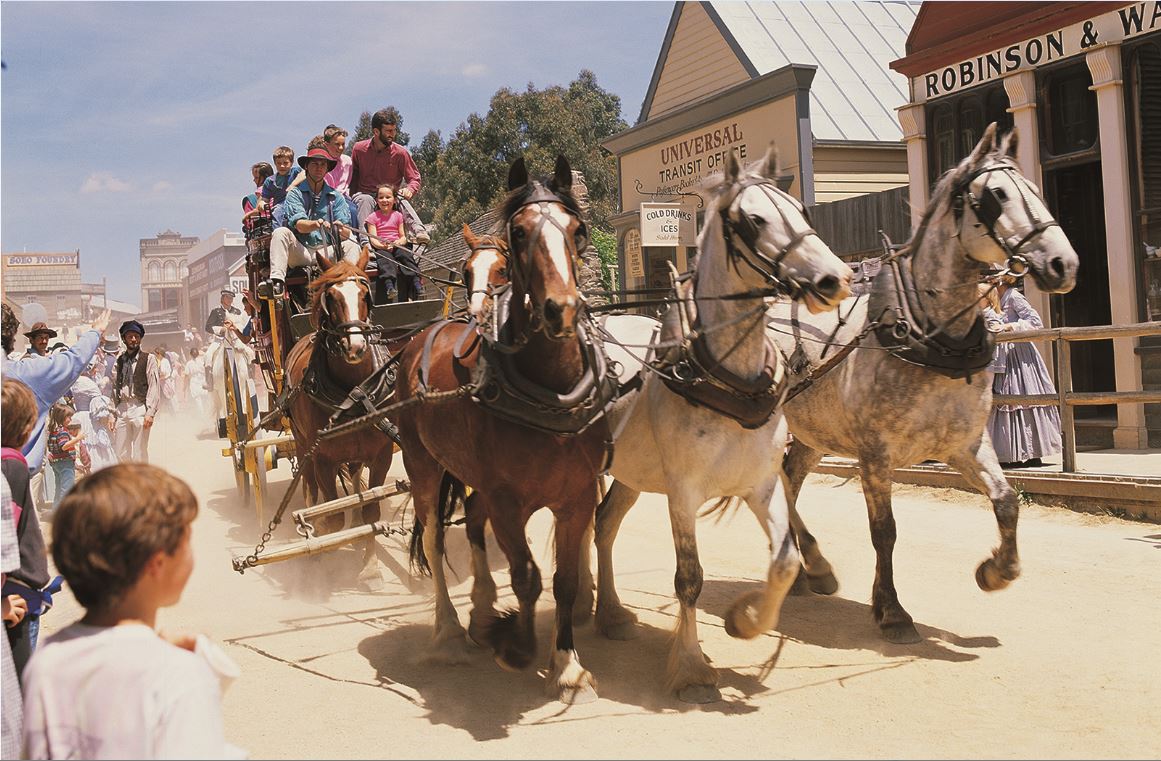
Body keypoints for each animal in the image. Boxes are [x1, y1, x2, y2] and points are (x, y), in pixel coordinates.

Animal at [390, 156, 608, 706]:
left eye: (578, 230)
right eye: (519, 231)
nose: (561, 308)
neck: (550, 391)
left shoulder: (576, 497)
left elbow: (564, 580)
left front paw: (568, 665)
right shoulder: (508, 499)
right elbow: (527, 577)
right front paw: (517, 647)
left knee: (469, 520)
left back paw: (483, 607)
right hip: (423, 465)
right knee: (434, 539)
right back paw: (449, 630)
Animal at [589, 145, 854, 706]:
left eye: (802, 209)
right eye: (753, 220)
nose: (834, 280)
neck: (725, 377)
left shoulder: (761, 484)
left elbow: (785, 562)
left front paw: (744, 621)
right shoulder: (683, 493)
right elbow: (689, 578)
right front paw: (691, 669)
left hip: (629, 473)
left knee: (603, 526)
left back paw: (609, 614)